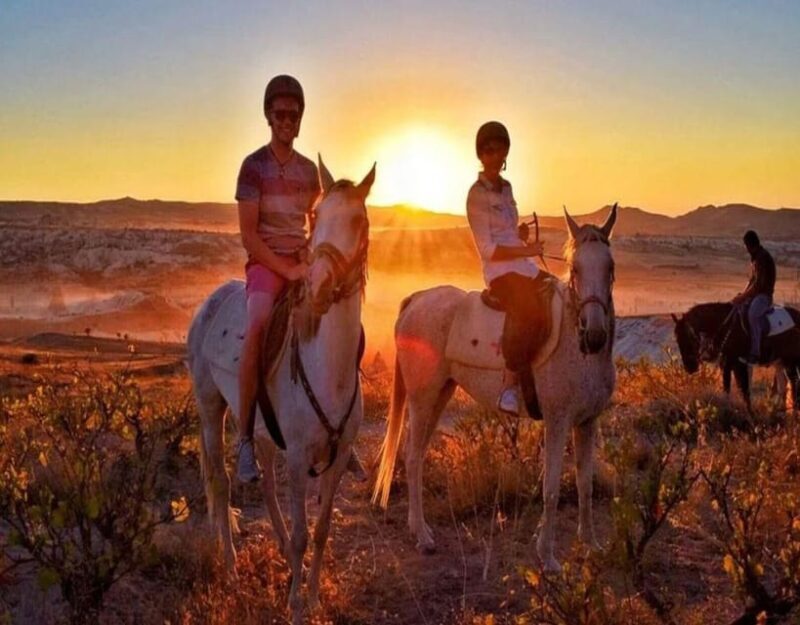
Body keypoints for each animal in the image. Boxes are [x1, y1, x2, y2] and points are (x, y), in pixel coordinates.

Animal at [186, 157, 374, 622]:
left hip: (265, 432)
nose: (319, 285)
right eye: (317, 216)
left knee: (267, 488)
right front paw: (295, 603)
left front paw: (311, 594)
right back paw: (231, 567)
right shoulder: (300, 457)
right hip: (210, 407)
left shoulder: (337, 458)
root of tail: (209, 303)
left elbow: (321, 531)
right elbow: (304, 533)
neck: (328, 367)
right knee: (220, 481)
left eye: (358, 220)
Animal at [372, 204, 618, 573]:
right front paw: (547, 557)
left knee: (416, 454)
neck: (577, 349)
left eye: (610, 267)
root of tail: (416, 300)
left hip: (440, 394)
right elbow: (551, 489)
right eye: (576, 268)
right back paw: (423, 537)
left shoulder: (587, 422)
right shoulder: (558, 422)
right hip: (422, 397)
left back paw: (419, 528)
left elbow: (585, 485)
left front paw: (591, 544)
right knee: (413, 456)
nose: (595, 335)